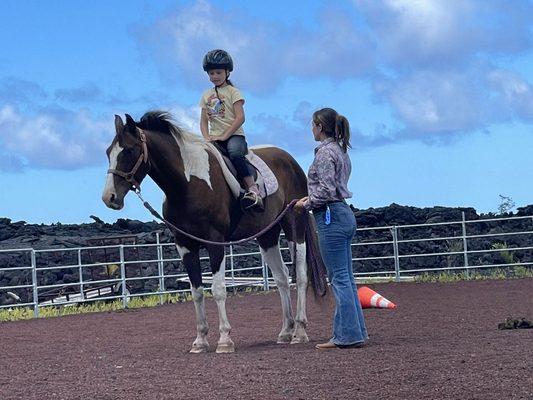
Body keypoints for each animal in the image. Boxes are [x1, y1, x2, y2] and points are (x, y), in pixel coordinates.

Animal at [101, 112, 324, 354]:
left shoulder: (215, 242)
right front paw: (200, 340)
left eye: (129, 151)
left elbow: (218, 289)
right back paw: (285, 331)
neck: (187, 184)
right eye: (108, 152)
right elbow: (197, 291)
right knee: (282, 277)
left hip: (294, 225)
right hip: (267, 235)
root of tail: (291, 162)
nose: (109, 197)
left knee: (300, 276)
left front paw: (225, 340)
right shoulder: (185, 245)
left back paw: (300, 331)